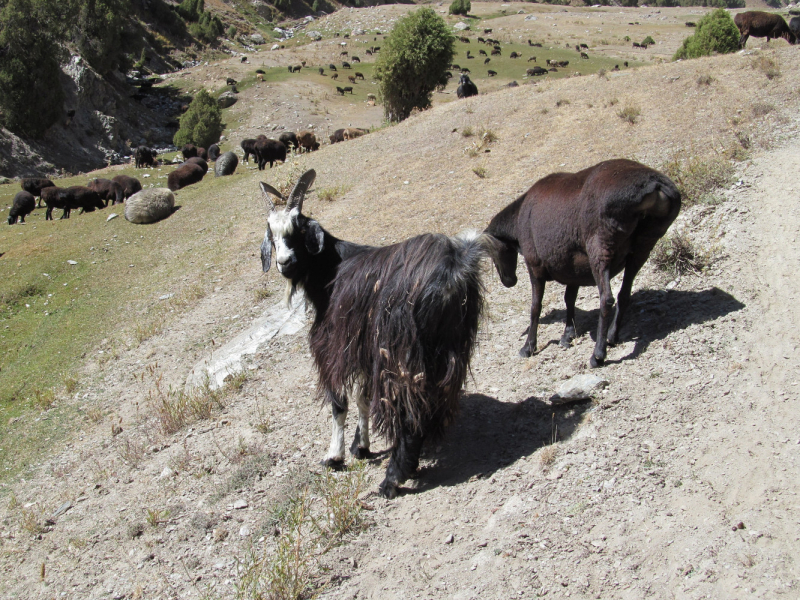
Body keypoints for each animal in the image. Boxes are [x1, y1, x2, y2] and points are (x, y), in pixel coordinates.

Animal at [260, 169, 504, 496]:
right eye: (271, 234)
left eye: (297, 230)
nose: (284, 263)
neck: (330, 271)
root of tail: (454, 268)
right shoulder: (364, 348)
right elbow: (363, 397)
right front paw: (360, 446)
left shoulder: (334, 347)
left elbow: (339, 403)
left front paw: (334, 456)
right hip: (449, 345)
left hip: (401, 350)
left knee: (409, 412)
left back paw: (392, 479)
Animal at [484, 158, 680, 366]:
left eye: (493, 252)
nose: (508, 281)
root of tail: (655, 185)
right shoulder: (572, 269)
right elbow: (569, 299)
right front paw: (567, 335)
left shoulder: (535, 265)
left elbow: (535, 307)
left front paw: (528, 347)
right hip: (645, 243)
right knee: (624, 294)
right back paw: (612, 336)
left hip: (600, 246)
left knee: (606, 298)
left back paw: (598, 354)